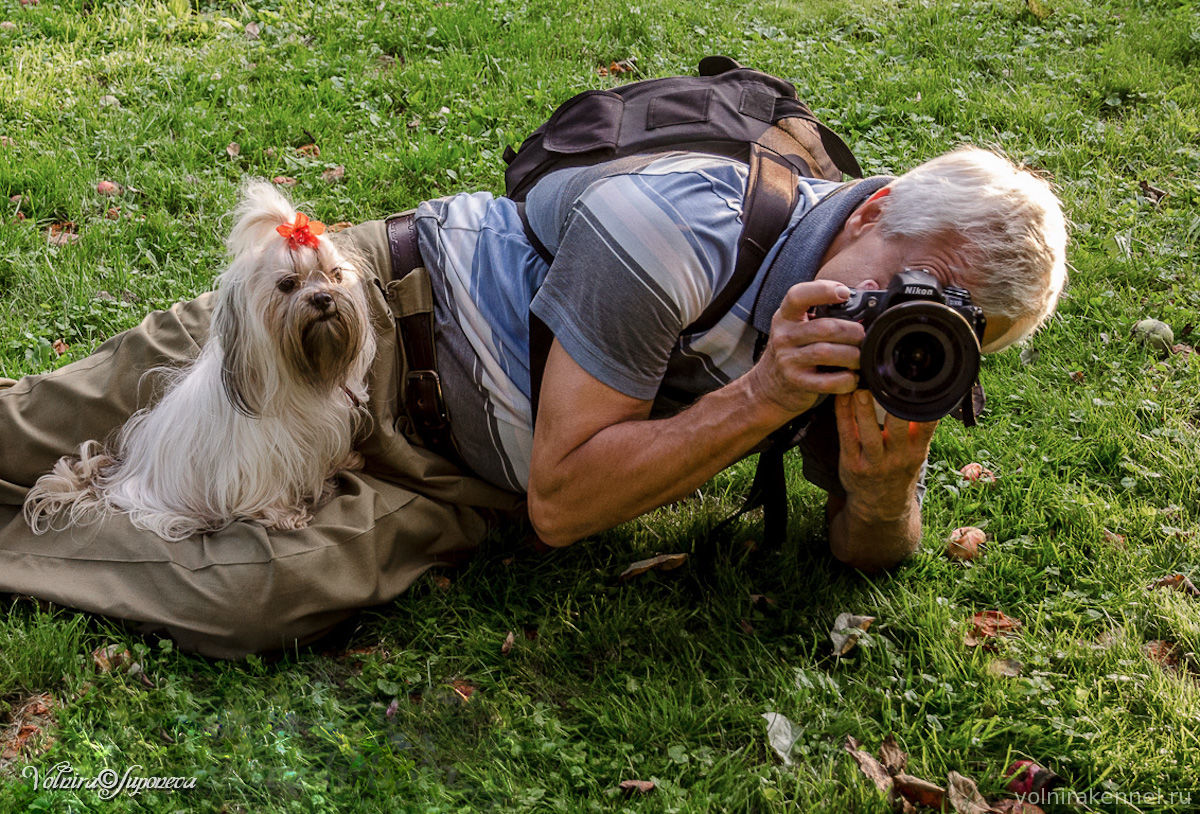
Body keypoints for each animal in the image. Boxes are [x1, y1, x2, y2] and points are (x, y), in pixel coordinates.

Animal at [24, 178, 379, 542]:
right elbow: (269, 490)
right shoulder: (260, 460)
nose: (323, 298)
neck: (300, 379)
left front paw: (343, 463)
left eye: (335, 275)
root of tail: (118, 481)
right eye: (287, 284)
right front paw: (287, 516)